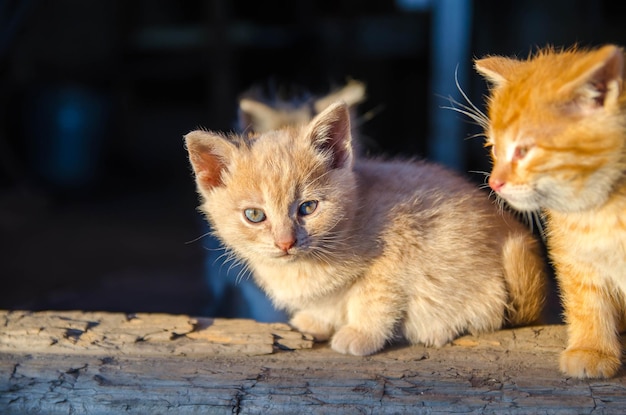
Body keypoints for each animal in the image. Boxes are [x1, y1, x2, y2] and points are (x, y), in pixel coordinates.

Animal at [183, 101, 544, 358]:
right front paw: (317, 320)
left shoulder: (401, 247)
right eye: (255, 215)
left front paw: (361, 333)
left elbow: (373, 299)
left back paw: (438, 328)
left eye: (308, 208)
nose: (286, 242)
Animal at [472, 45, 624, 380]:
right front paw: (592, 347)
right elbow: (584, 297)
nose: (494, 182)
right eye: (494, 149)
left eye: (523, 150)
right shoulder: (572, 248)